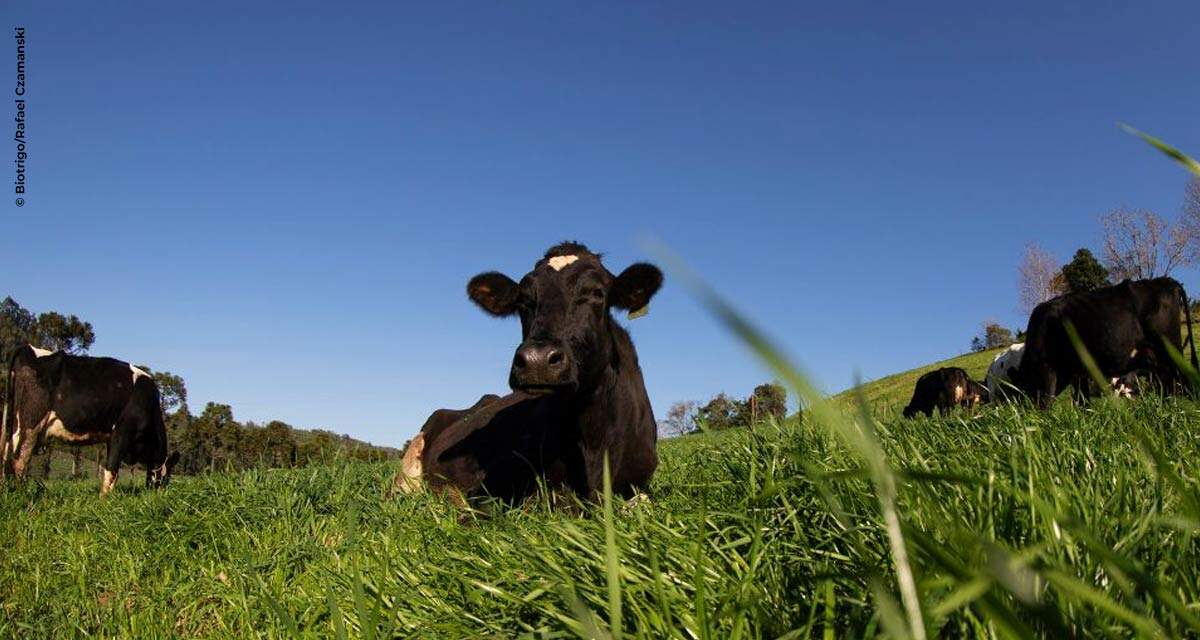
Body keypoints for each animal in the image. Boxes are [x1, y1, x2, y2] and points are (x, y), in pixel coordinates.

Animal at [0, 343, 177, 494]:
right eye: (165, 478)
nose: (158, 495)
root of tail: (27, 347)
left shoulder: (111, 438)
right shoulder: (122, 432)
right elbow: (112, 470)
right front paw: (104, 501)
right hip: (31, 423)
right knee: (20, 458)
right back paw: (22, 494)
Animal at [1017, 277, 1195, 405]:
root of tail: (1167, 281)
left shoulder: (1047, 368)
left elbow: (1046, 402)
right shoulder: (1077, 373)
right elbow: (1082, 401)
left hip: (1169, 348)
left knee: (1181, 382)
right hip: (1158, 359)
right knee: (1168, 385)